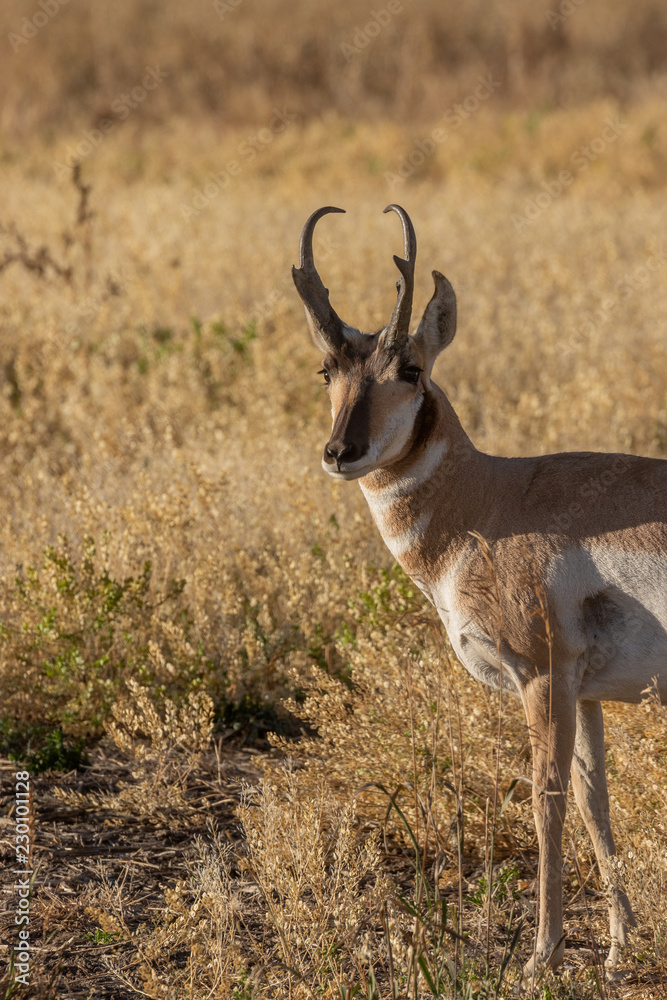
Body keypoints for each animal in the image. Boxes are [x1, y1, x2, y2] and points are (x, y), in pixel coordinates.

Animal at [292, 204, 667, 976]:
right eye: (326, 369)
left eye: (408, 367)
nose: (341, 452)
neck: (491, 499)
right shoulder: (585, 693)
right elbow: (593, 800)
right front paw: (618, 949)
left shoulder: (542, 679)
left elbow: (546, 802)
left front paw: (541, 956)